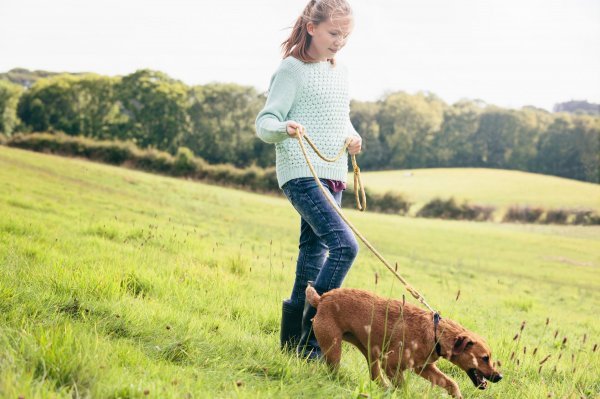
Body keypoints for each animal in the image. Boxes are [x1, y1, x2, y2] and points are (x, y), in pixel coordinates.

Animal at [304, 286, 502, 398]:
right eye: (484, 358)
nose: (499, 376)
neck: (436, 332)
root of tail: (322, 298)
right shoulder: (391, 365)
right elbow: (404, 388)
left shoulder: (424, 368)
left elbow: (451, 382)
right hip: (334, 349)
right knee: (334, 373)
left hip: (370, 351)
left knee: (375, 377)